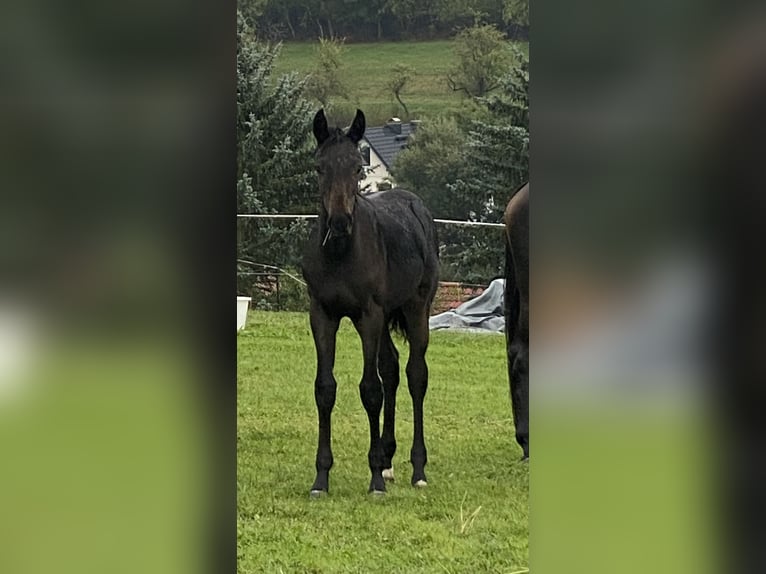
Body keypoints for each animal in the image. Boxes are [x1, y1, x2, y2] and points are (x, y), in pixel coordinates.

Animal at [301, 109, 439, 496]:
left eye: (357, 168)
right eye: (319, 167)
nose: (340, 222)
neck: (340, 253)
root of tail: (416, 205)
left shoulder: (369, 316)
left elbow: (370, 389)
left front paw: (375, 477)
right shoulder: (322, 315)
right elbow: (325, 388)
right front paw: (321, 478)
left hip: (415, 309)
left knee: (415, 375)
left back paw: (416, 468)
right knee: (391, 368)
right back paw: (389, 459)